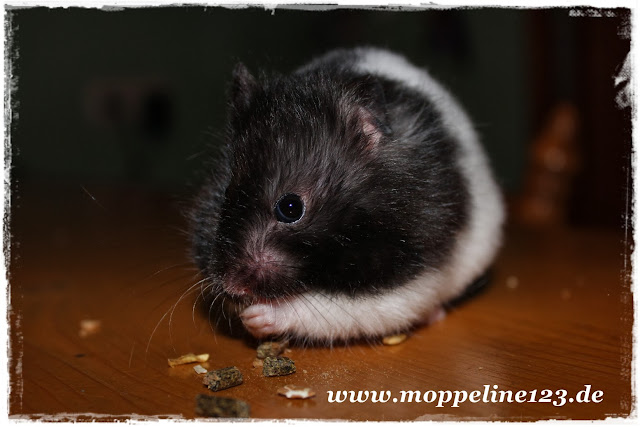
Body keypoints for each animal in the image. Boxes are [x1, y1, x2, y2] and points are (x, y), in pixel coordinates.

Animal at [191, 47, 504, 343]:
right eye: (225, 195)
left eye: (290, 208)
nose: (232, 288)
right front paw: (240, 312)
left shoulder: (412, 271)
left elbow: (339, 307)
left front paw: (256, 317)